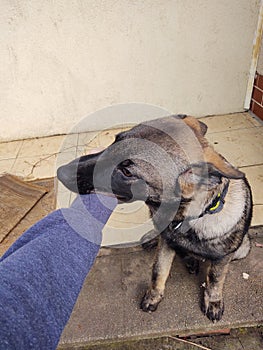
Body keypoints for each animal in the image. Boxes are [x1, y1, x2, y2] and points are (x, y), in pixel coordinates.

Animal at [56, 115, 253, 322]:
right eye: (115, 140)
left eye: (127, 172)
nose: (60, 172)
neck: (187, 218)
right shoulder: (166, 245)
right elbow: (158, 270)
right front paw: (154, 296)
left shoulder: (222, 259)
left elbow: (215, 279)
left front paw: (213, 301)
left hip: (242, 250)